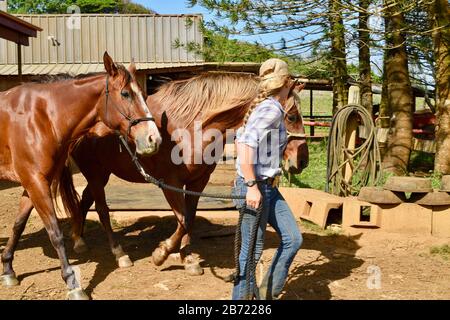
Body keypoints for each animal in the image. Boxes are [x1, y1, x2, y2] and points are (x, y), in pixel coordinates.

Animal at [0, 51, 162, 298]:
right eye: (125, 94)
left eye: (143, 95)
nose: (154, 139)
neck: (41, 118)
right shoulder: (36, 182)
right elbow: (55, 233)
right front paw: (73, 284)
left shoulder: (33, 183)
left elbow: (18, 224)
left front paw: (8, 269)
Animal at [63, 72, 308, 276]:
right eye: (292, 117)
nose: (302, 160)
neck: (191, 127)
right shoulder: (170, 183)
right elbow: (182, 220)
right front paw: (161, 253)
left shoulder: (197, 182)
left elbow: (189, 219)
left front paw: (188, 258)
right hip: (95, 174)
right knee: (102, 211)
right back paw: (119, 254)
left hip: (101, 173)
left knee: (84, 201)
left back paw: (79, 240)